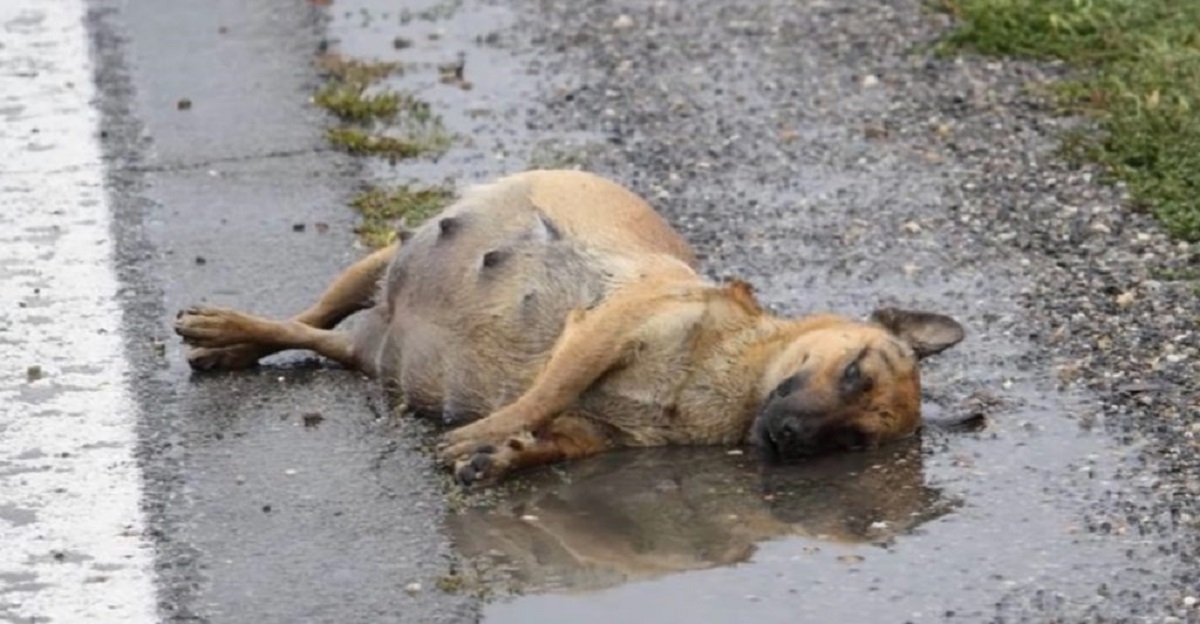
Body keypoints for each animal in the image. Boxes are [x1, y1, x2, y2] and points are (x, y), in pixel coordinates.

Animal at [175, 170, 964, 487]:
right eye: (855, 369)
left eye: (854, 441)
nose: (793, 438)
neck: (724, 383)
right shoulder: (601, 332)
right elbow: (542, 394)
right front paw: (481, 435)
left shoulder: (596, 432)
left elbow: (551, 435)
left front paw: (502, 457)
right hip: (380, 262)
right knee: (305, 317)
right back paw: (225, 328)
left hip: (367, 344)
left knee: (318, 339)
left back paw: (229, 342)